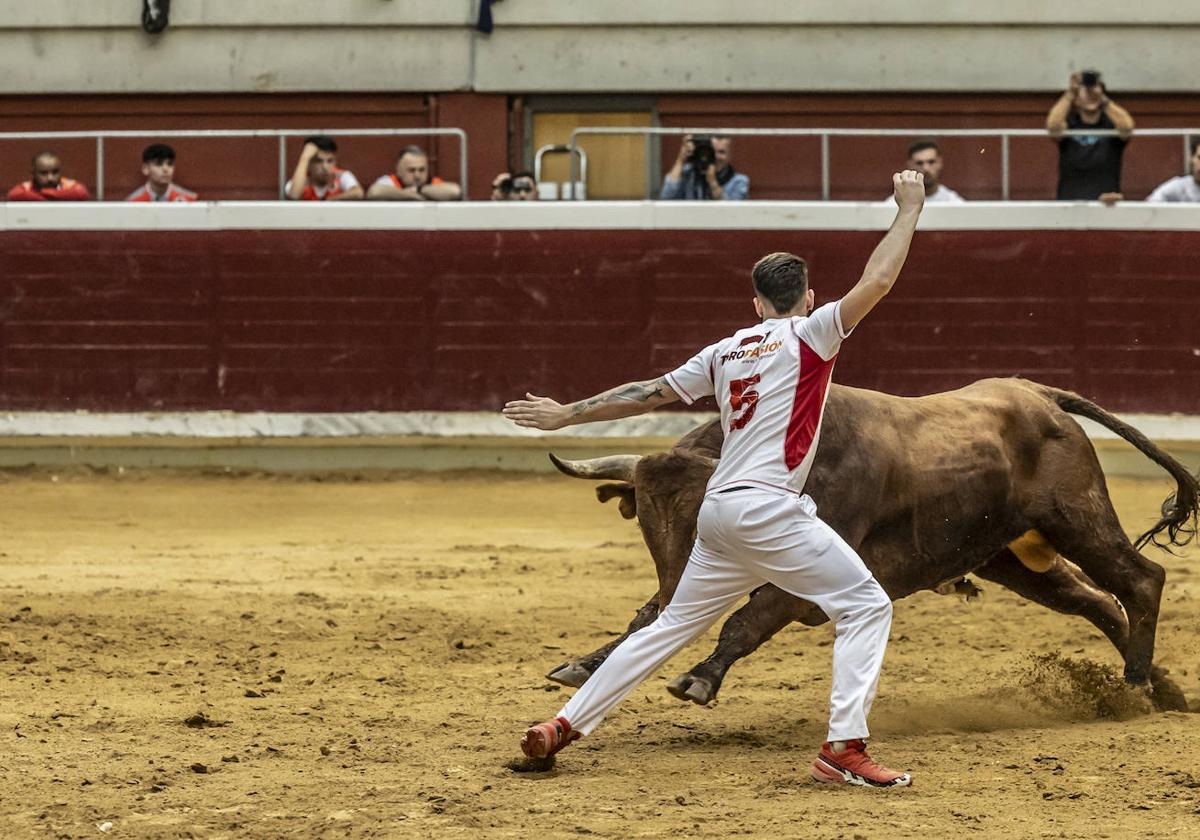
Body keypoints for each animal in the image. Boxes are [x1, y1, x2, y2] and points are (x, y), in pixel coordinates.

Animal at [549, 376, 1195, 710]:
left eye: (703, 522)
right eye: (645, 522)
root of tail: (1037, 395)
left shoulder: (802, 582)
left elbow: (745, 621)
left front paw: (698, 678)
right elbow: (645, 620)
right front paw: (584, 665)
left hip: (1077, 518)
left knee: (1140, 580)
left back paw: (1136, 689)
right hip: (1010, 557)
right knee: (1098, 602)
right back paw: (1160, 687)